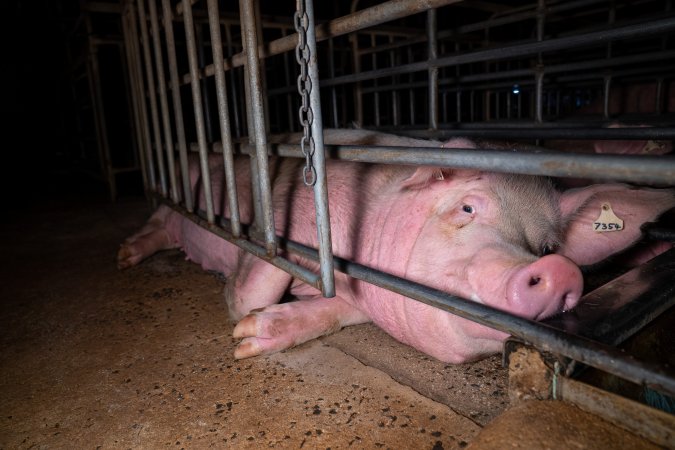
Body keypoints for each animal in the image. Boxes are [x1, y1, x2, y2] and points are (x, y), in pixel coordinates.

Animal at [117, 128, 675, 364]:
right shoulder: (284, 210)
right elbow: (251, 287)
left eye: (546, 245)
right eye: (467, 208)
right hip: (174, 195)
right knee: (158, 221)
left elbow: (339, 310)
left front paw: (258, 333)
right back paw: (125, 257)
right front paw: (242, 333)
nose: (560, 271)